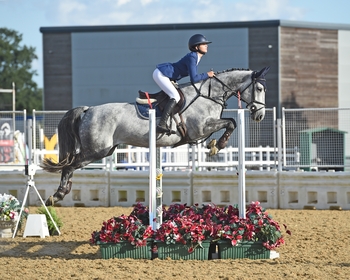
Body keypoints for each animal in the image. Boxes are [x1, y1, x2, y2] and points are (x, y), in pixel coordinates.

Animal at [41, 66, 270, 205]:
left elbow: (230, 122)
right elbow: (230, 122)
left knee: (71, 166)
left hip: (102, 150)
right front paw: (218, 145)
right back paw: (57, 195)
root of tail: (89, 110)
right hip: (96, 151)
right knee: (69, 166)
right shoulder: (201, 128)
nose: (259, 115)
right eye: (259, 88)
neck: (208, 95)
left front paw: (214, 145)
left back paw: (62, 192)